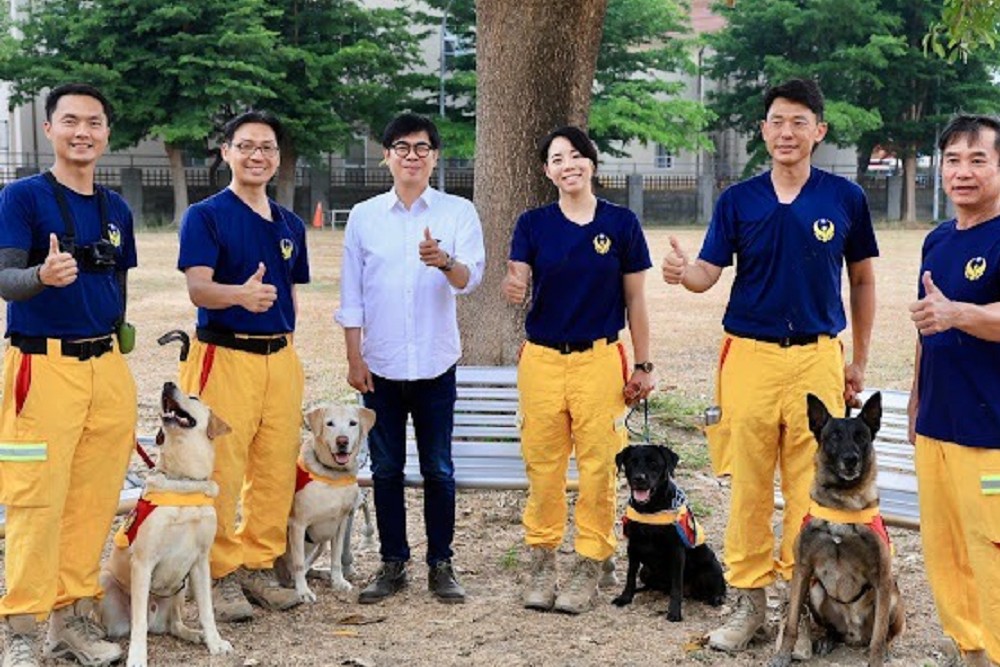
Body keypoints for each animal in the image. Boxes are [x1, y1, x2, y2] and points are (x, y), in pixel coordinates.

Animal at [101, 384, 234, 664]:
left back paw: (194, 635)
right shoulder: (142, 563)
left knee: (174, 624)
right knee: (126, 625)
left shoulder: (200, 562)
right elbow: (138, 624)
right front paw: (137, 658)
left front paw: (215, 642)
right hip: (106, 583)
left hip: (180, 589)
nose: (168, 384)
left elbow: (207, 610)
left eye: (194, 397)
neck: (184, 482)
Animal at [278, 404, 376, 604]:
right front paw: (303, 591)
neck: (333, 475)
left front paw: (338, 581)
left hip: (320, 543)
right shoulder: (298, 525)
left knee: (310, 565)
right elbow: (299, 563)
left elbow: (336, 558)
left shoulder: (341, 523)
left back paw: (322, 573)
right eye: (330, 424)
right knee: (294, 566)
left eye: (353, 423)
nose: (342, 441)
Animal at [612, 444, 724, 620]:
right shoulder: (633, 547)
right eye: (631, 462)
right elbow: (630, 576)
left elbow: (676, 585)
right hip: (645, 571)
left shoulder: (676, 552)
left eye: (653, 463)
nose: (639, 478)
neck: (650, 509)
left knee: (717, 589)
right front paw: (625, 597)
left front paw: (674, 612)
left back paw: (717, 598)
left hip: (709, 570)